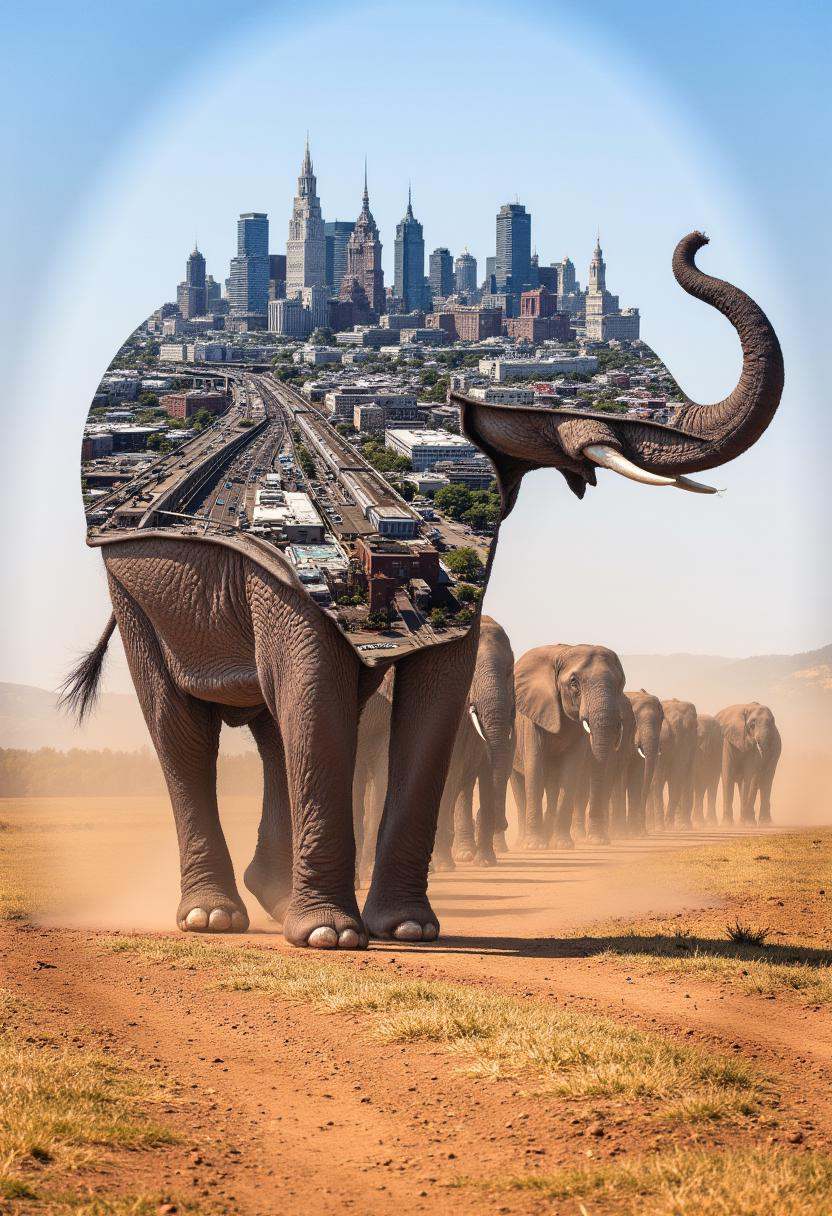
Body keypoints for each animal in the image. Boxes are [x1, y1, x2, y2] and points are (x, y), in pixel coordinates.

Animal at [511, 644, 626, 848]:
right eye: (574, 683)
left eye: (621, 683)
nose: (600, 841)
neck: (563, 652)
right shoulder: (532, 716)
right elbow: (534, 767)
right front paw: (535, 845)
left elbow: (570, 772)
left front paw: (563, 844)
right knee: (519, 786)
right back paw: (523, 842)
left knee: (552, 785)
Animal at [610, 690, 664, 837]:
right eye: (635, 721)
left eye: (661, 719)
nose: (645, 831)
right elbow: (622, 778)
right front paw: (622, 833)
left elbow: (637, 777)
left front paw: (635, 833)